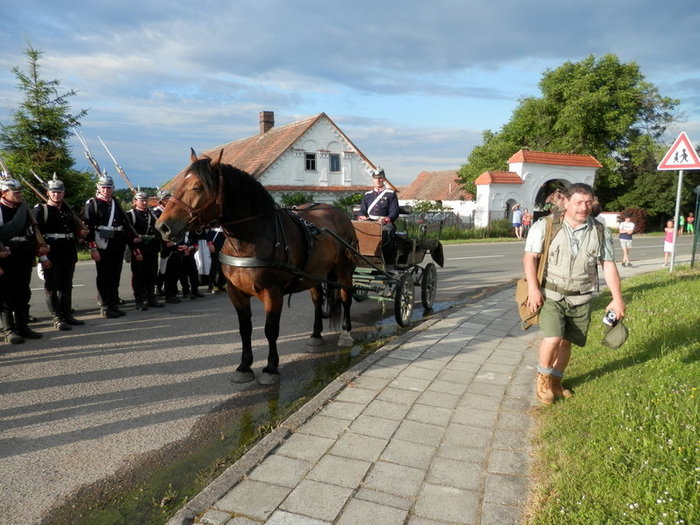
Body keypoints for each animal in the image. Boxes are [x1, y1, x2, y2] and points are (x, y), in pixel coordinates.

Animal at [155, 149, 357, 385]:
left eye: (198, 187)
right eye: (179, 185)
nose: (162, 227)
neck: (252, 236)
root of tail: (339, 213)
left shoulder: (273, 292)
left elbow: (270, 330)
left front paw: (271, 368)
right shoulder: (236, 291)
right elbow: (245, 329)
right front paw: (244, 366)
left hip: (344, 271)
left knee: (346, 298)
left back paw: (346, 333)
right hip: (314, 274)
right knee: (317, 300)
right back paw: (316, 335)